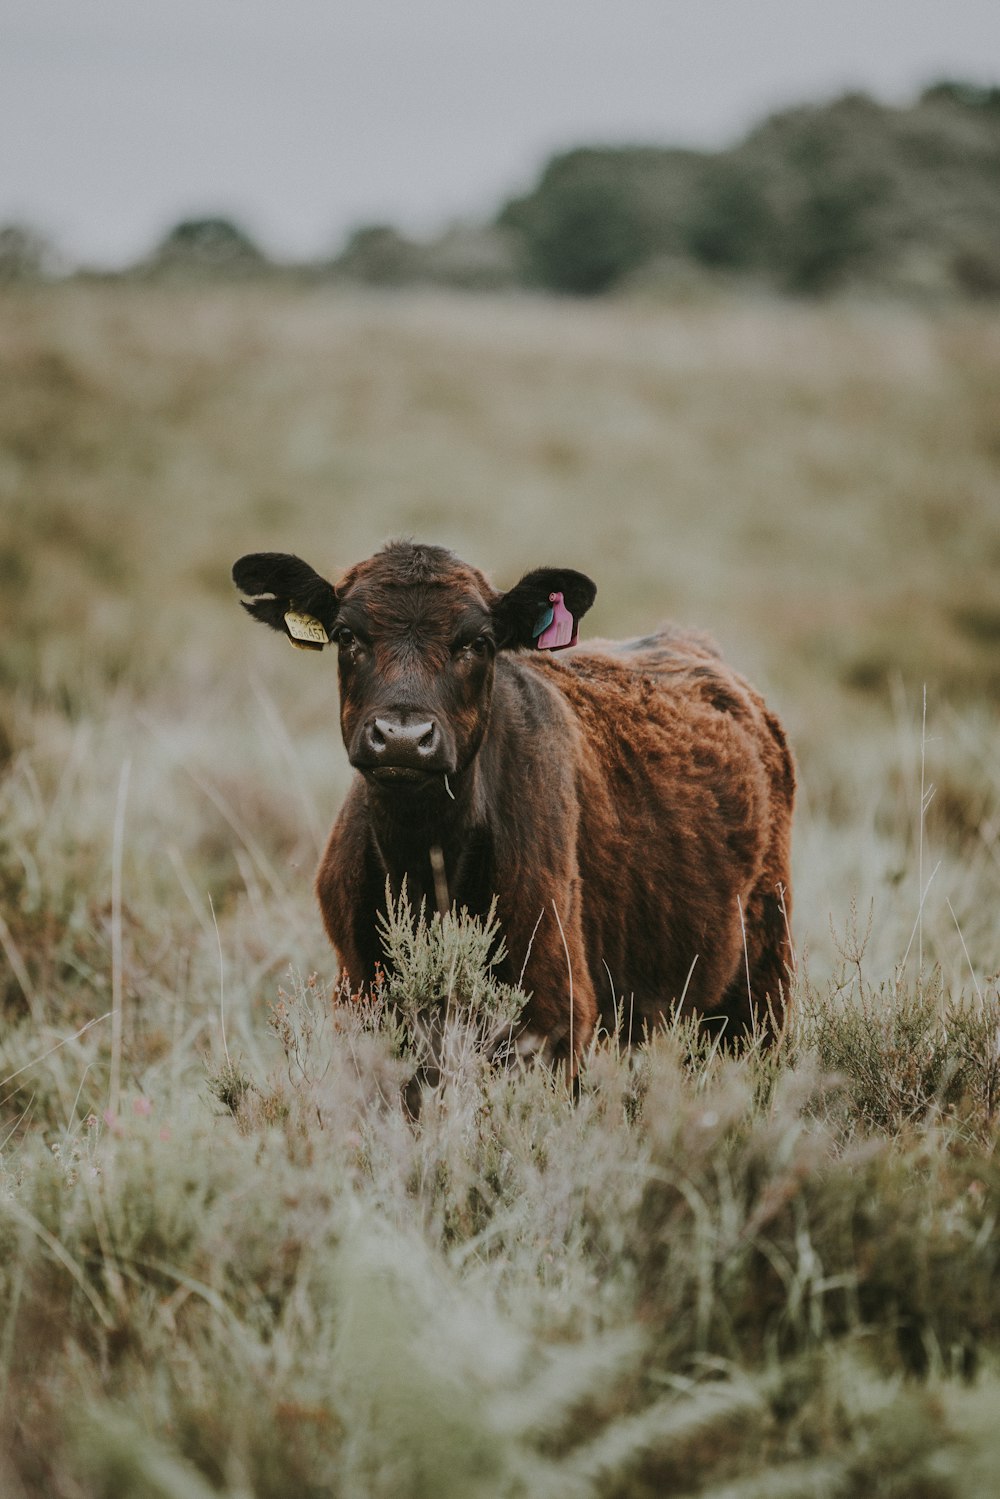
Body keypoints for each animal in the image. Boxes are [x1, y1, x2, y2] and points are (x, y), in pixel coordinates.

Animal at [235, 539, 797, 1067]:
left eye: (478, 643)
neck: (425, 864)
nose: (402, 737)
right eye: (348, 636)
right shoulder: (360, 997)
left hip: (760, 986)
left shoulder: (554, 1011)